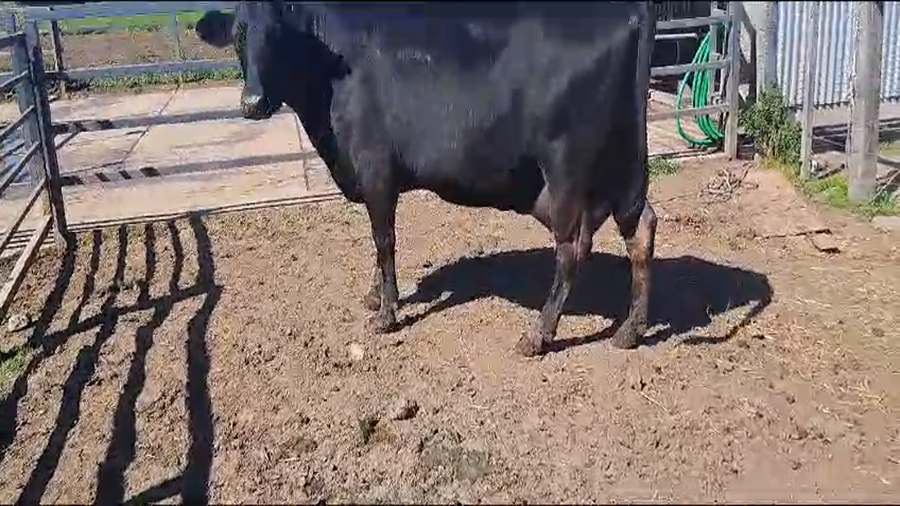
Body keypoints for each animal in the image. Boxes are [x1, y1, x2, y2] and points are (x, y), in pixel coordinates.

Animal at [195, 1, 658, 357]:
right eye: (238, 36)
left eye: (278, 37)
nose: (252, 102)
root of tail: (630, 11)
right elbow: (378, 243)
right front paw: (375, 297)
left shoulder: (376, 169)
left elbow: (384, 241)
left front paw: (386, 313)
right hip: (619, 165)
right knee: (640, 229)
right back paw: (630, 330)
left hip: (566, 166)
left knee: (572, 248)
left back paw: (537, 335)